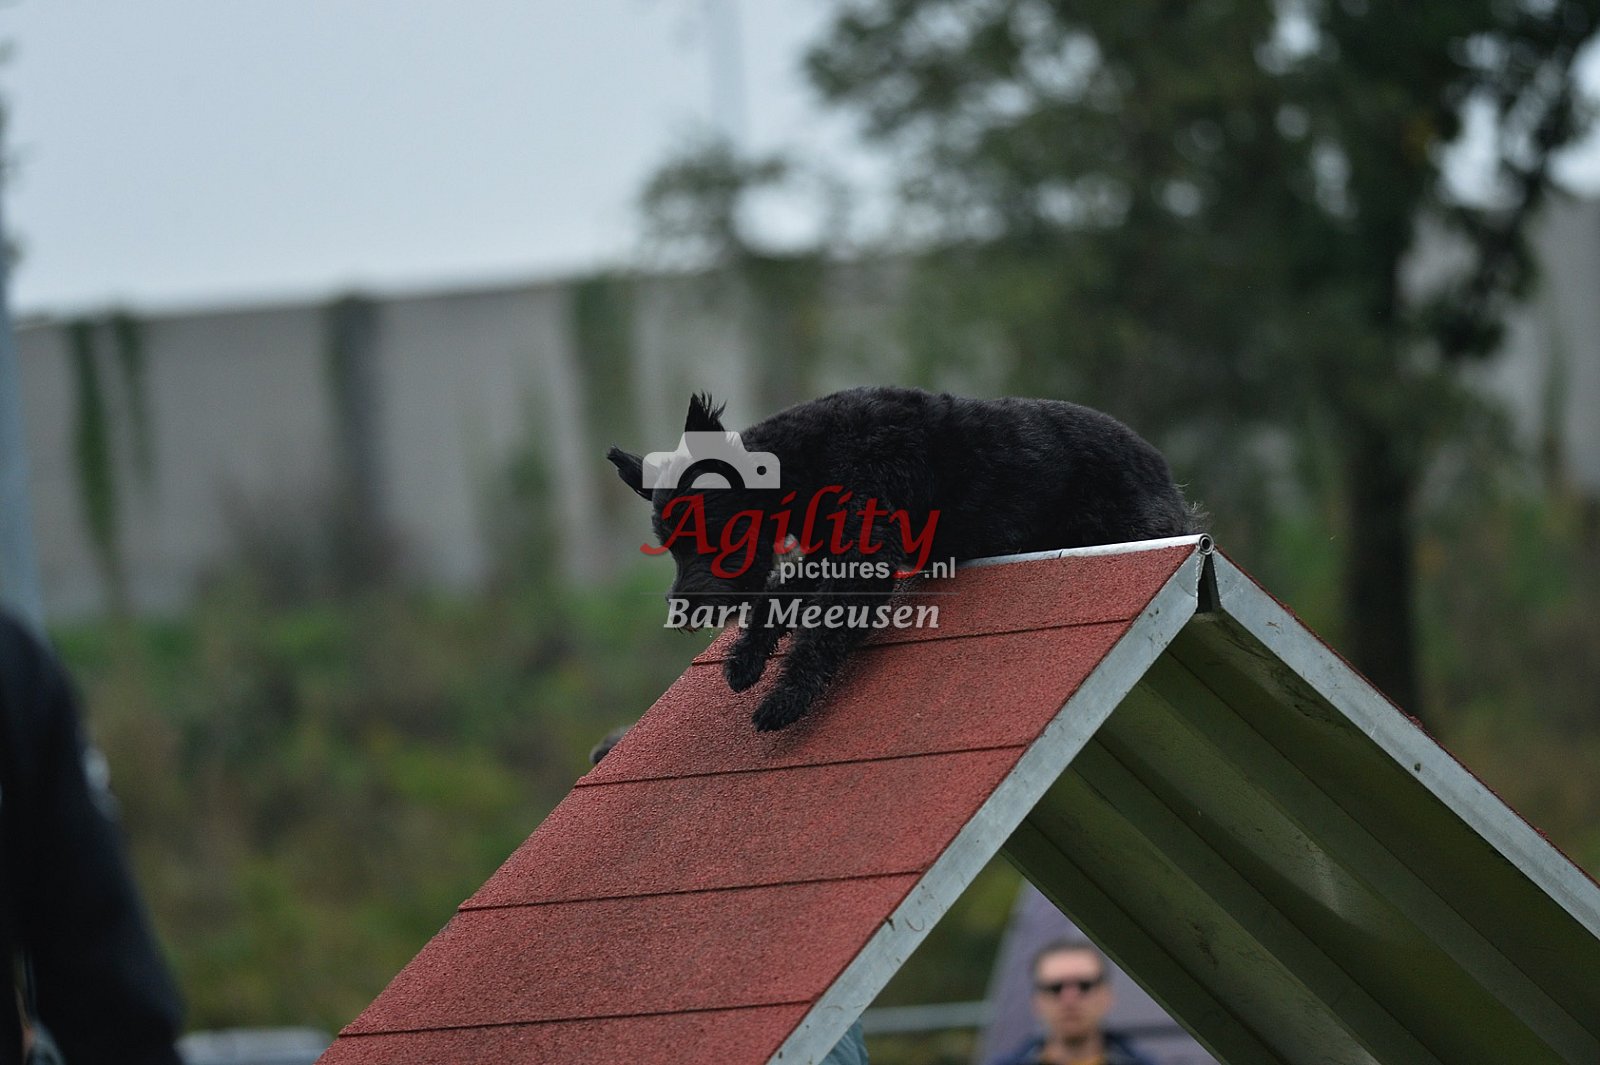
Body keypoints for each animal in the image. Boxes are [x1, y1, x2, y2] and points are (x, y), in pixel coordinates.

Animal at [608, 386, 1203, 731]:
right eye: (668, 541)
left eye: (703, 529)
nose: (685, 609)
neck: (804, 463)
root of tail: (1163, 470)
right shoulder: (832, 552)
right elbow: (781, 593)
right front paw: (747, 659)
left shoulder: (862, 558)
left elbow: (821, 629)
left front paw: (786, 700)